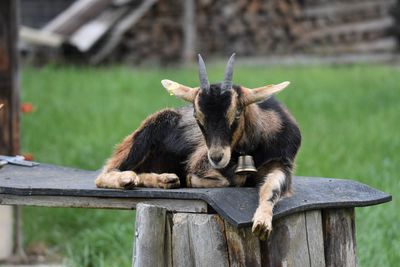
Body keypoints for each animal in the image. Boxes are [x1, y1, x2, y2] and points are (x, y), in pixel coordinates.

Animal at [95, 54, 300, 241]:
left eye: (237, 113)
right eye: (197, 116)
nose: (217, 157)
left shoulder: (282, 163)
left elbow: (272, 188)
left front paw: (262, 224)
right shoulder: (200, 159)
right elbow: (229, 180)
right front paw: (192, 180)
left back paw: (165, 180)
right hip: (147, 133)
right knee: (105, 174)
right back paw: (127, 179)